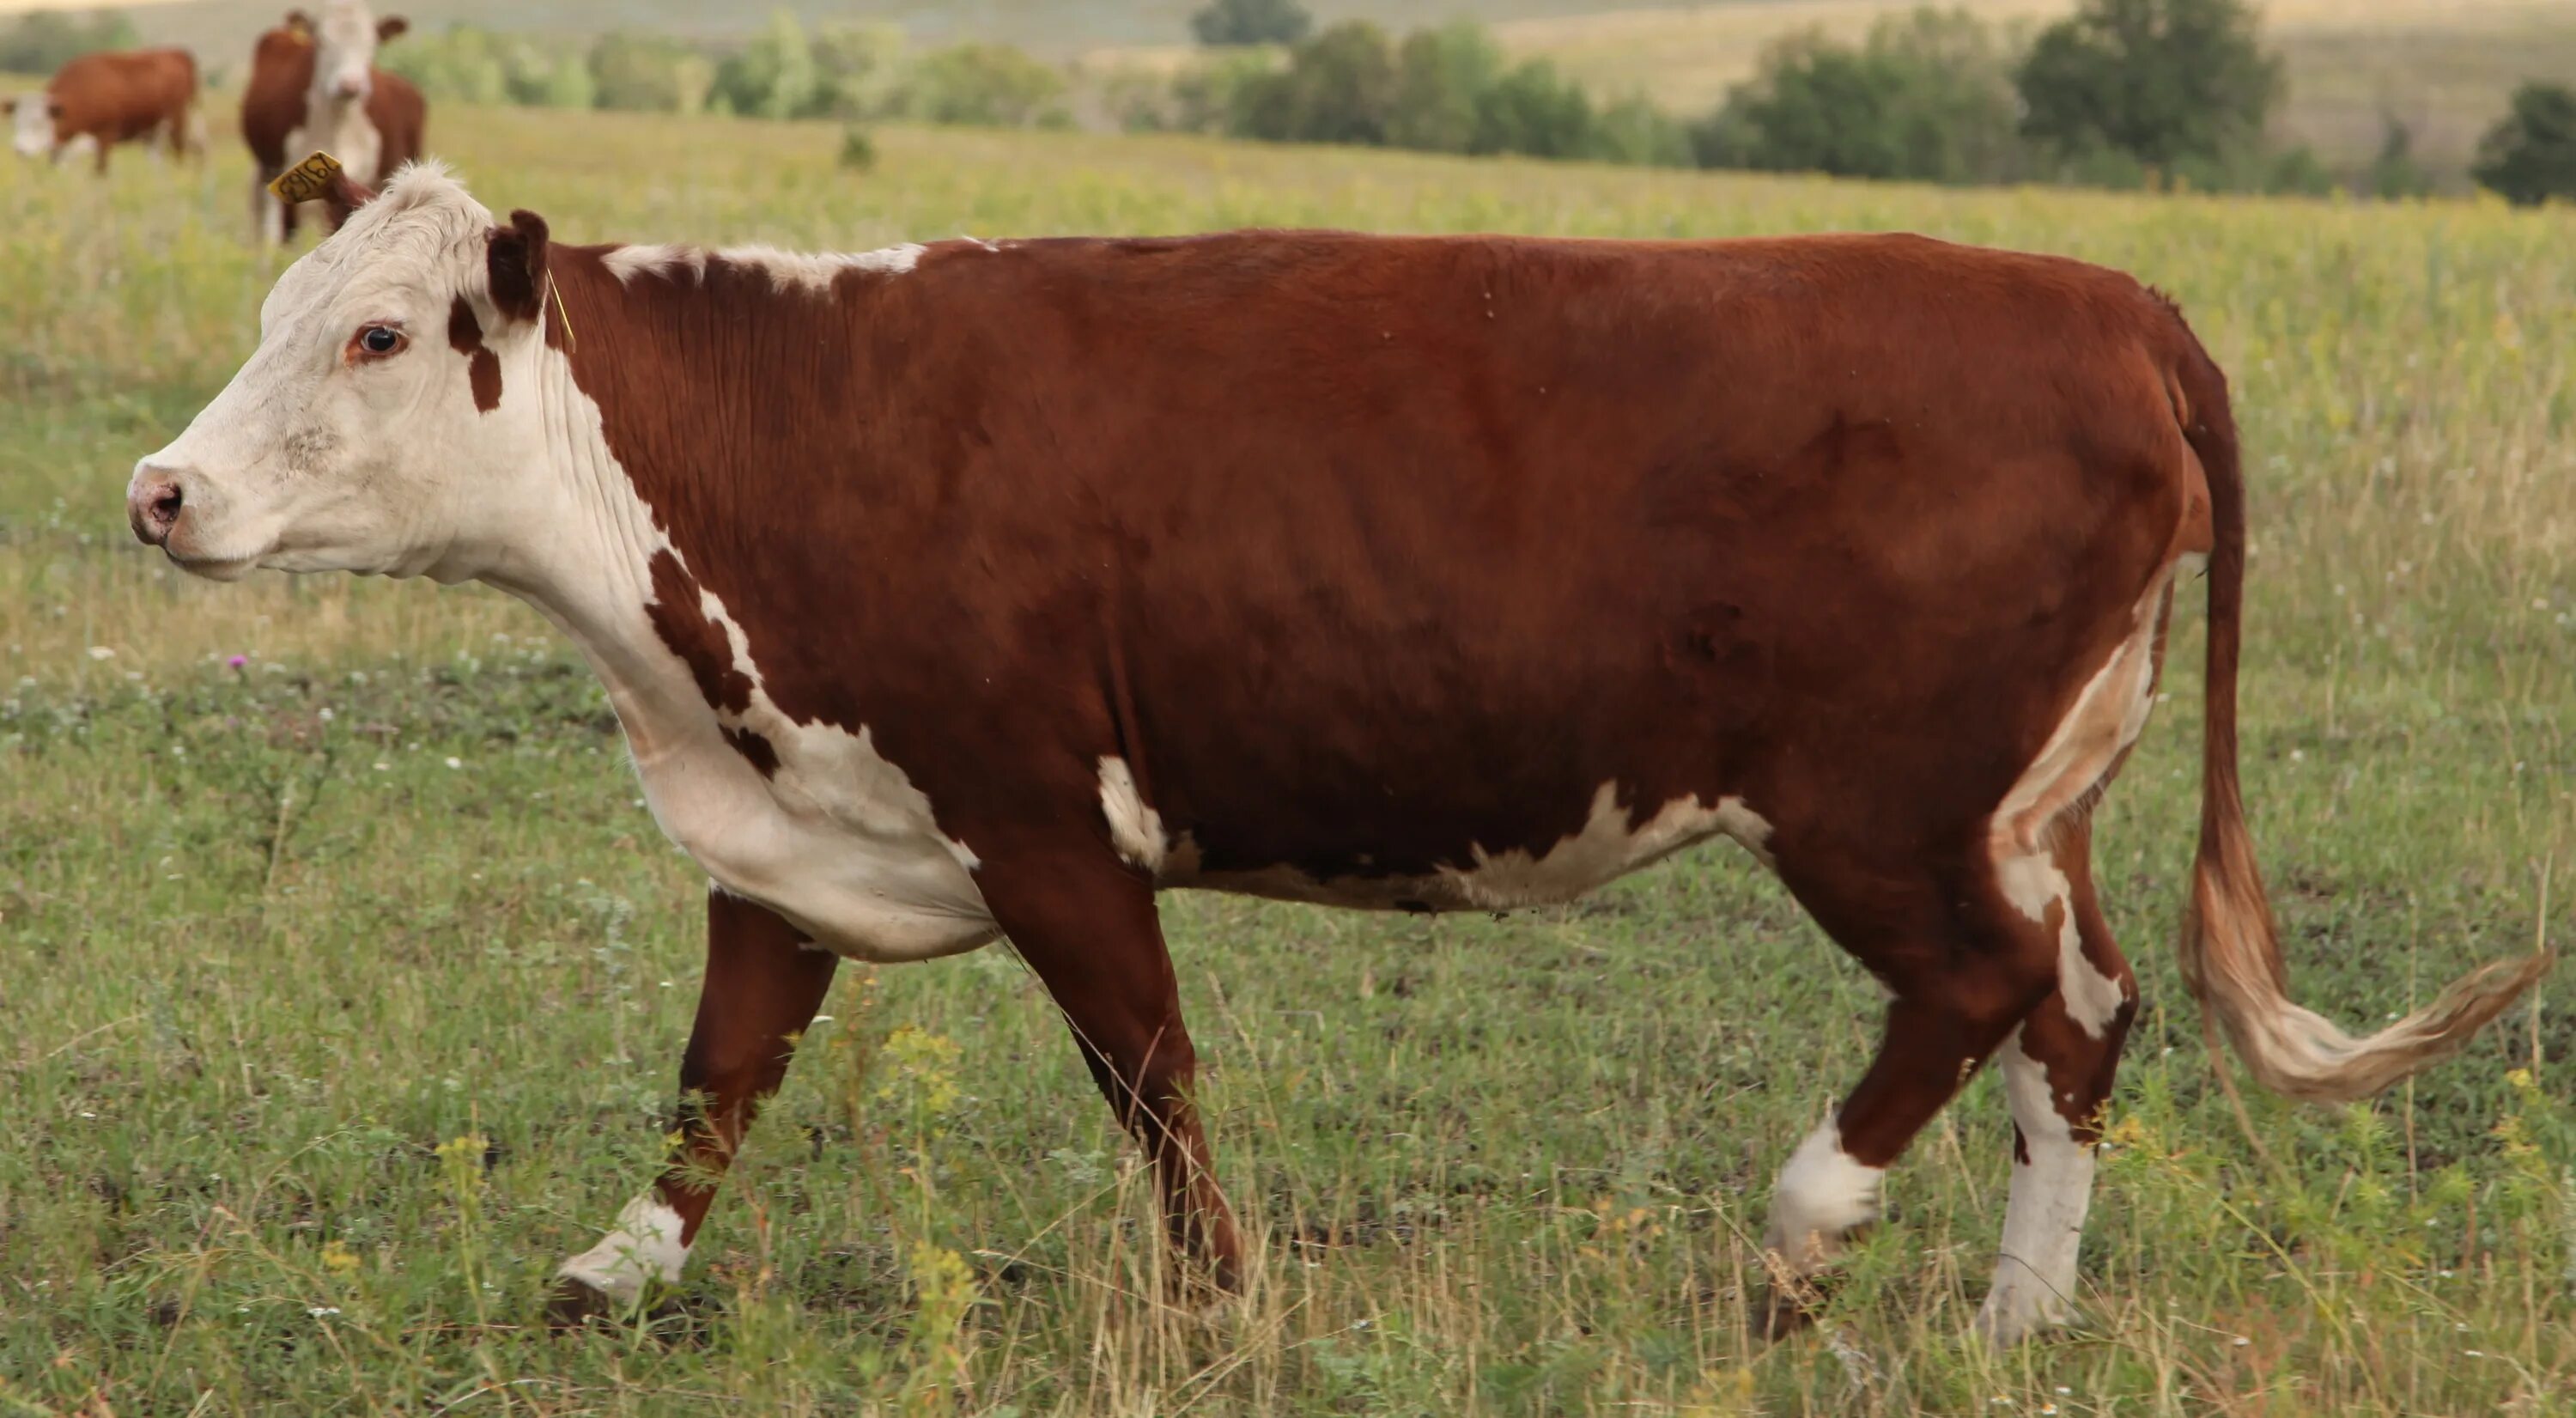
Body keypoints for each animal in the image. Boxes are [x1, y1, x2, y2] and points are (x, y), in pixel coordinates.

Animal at [4, 47, 198, 173]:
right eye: (15, 123)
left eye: (38, 123)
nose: (19, 150)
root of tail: (176, 53)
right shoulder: (62, 144)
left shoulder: (105, 135)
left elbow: (100, 171)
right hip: (153, 133)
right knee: (157, 161)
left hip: (176, 123)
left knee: (179, 153)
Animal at [131, 163, 2545, 1340]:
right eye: (278, 313)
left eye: (372, 335)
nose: (161, 491)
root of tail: (2099, 296)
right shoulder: (797, 813)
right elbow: (724, 1062)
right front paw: (612, 1273)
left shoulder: (1042, 814)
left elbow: (1150, 1075)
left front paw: (1225, 1300)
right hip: (2029, 798)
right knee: (2084, 1006)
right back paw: (2017, 1316)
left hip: (1878, 802)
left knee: (1973, 990)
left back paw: (1794, 1242)